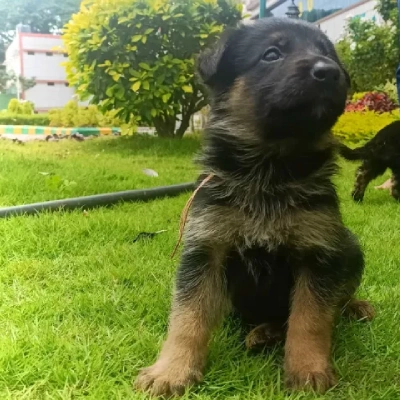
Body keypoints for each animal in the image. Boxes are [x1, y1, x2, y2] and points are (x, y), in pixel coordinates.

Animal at [135, 17, 376, 396]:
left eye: (325, 53)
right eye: (272, 54)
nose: (330, 72)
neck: (269, 169)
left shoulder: (318, 252)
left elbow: (311, 319)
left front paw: (308, 368)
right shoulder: (205, 249)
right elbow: (187, 318)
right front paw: (171, 371)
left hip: (348, 246)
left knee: (336, 300)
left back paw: (347, 308)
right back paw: (265, 332)